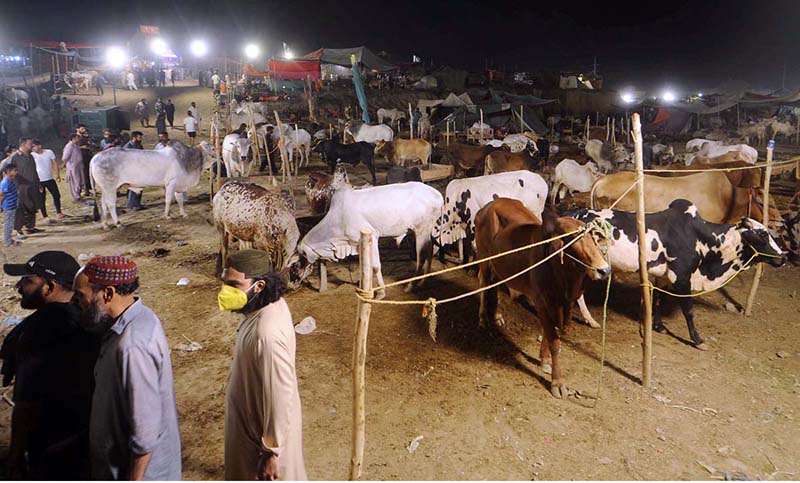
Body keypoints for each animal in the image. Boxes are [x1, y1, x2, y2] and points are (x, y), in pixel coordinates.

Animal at [296, 182, 444, 296]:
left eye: (303, 257)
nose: (300, 276)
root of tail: (438, 195)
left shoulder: (372, 236)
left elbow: (375, 266)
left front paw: (381, 293)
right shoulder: (358, 243)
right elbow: (364, 266)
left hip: (421, 231)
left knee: (421, 257)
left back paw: (410, 286)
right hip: (422, 232)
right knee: (430, 250)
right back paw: (423, 281)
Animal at [476, 199, 612, 398]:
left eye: (592, 239)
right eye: (574, 241)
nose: (604, 270)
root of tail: (488, 206)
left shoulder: (556, 304)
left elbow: (549, 335)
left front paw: (544, 360)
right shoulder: (542, 303)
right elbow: (554, 342)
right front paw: (557, 383)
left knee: (494, 285)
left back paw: (496, 315)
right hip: (484, 259)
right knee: (484, 283)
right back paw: (483, 318)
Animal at [568, 199, 788, 350]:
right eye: (762, 234)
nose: (783, 257)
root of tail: (575, 212)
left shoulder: (663, 276)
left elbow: (658, 299)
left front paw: (659, 326)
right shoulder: (681, 277)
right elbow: (688, 310)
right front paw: (698, 340)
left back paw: (590, 320)